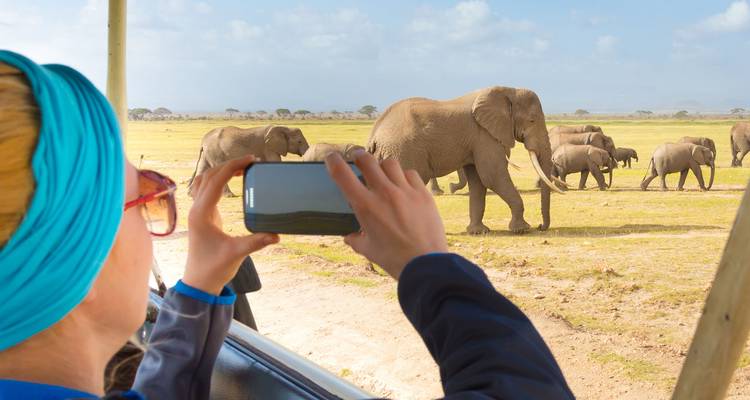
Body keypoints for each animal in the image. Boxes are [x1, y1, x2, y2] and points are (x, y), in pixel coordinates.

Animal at [367, 86, 562, 235]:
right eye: (532, 120)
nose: (541, 226)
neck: (508, 91)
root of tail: (374, 135)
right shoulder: (484, 136)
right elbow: (493, 176)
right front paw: (522, 229)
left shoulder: (476, 140)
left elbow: (478, 182)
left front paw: (478, 231)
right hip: (403, 152)